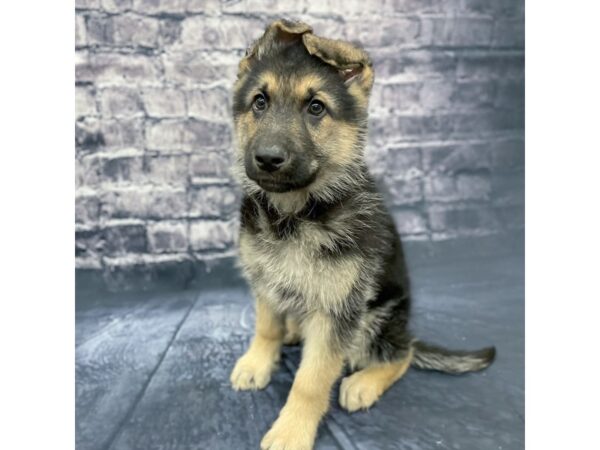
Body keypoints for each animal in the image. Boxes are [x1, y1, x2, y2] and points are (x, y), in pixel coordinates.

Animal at [227, 19, 494, 448]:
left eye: (315, 108)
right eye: (259, 102)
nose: (267, 159)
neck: (297, 213)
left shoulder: (337, 310)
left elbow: (311, 380)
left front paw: (291, 430)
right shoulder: (264, 278)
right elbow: (266, 325)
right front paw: (258, 361)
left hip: (378, 318)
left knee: (402, 354)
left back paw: (365, 381)